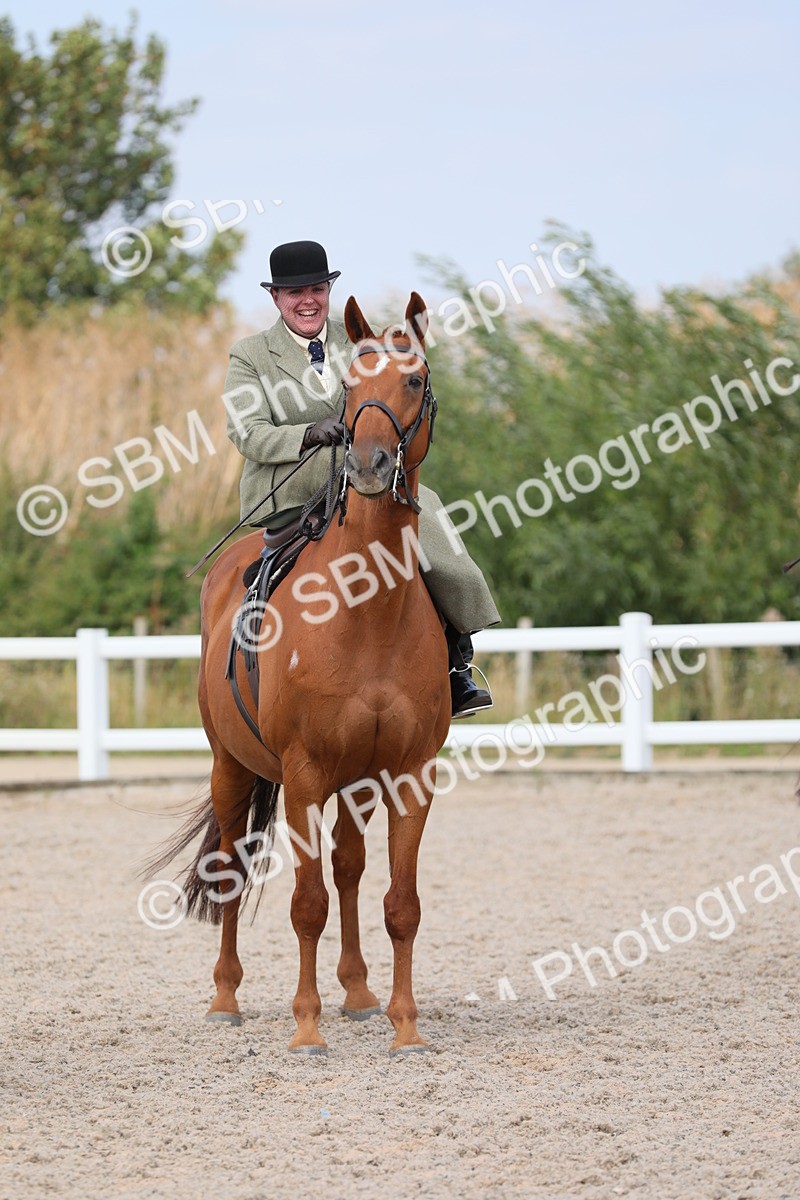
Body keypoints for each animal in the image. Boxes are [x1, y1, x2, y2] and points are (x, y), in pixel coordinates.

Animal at [150, 293, 451, 1056]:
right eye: (350, 387)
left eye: (413, 380)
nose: (370, 464)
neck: (367, 610)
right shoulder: (305, 773)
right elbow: (306, 904)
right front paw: (307, 1028)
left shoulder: (408, 774)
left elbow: (399, 904)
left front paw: (405, 1026)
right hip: (231, 768)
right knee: (231, 868)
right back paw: (226, 998)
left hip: (357, 782)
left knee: (348, 867)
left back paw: (360, 993)